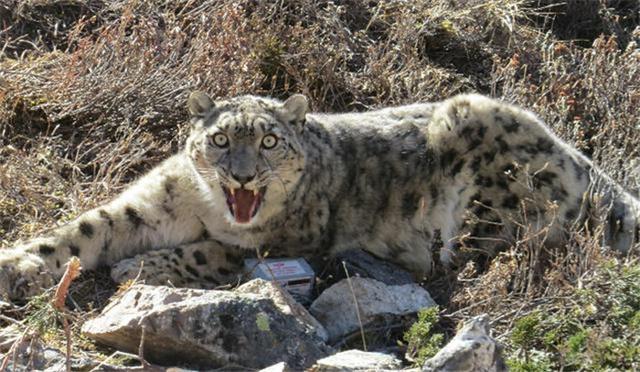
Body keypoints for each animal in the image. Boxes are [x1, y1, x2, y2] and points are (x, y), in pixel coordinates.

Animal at [1, 91, 640, 300]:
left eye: (269, 141)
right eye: (221, 139)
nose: (242, 178)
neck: (207, 210)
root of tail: (582, 160)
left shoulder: (291, 240)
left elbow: (214, 251)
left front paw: (140, 267)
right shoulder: (153, 203)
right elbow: (89, 228)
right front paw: (18, 265)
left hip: (495, 188)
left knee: (487, 249)